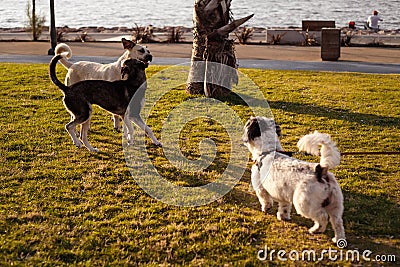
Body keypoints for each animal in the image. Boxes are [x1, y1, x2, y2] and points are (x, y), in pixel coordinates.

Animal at [242, 116, 346, 244]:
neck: (269, 151)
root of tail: (321, 170)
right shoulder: (283, 195)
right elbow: (284, 207)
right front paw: (283, 216)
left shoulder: (260, 187)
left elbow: (265, 199)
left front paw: (266, 208)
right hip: (335, 206)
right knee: (338, 223)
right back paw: (338, 239)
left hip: (304, 204)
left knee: (322, 217)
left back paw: (316, 230)